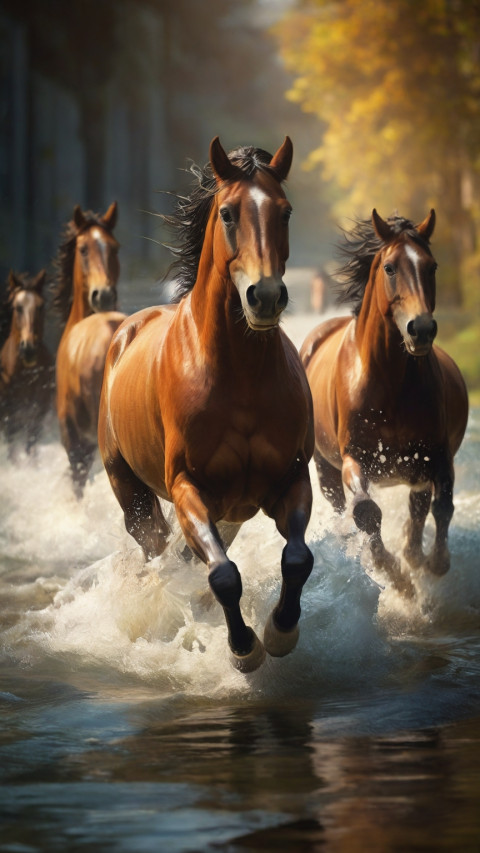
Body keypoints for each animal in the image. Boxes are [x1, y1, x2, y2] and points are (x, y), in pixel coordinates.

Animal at [0, 270, 54, 455]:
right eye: (17, 307)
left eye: (41, 306)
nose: (28, 348)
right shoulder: (8, 419)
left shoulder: (37, 414)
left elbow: (31, 445)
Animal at [98, 137, 315, 672]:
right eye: (228, 213)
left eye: (285, 212)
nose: (265, 297)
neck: (238, 377)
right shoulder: (186, 487)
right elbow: (223, 575)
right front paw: (244, 649)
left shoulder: (290, 478)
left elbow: (298, 558)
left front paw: (280, 631)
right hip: (132, 493)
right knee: (157, 551)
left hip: (231, 512)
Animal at [300, 209, 469, 594]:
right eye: (390, 268)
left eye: (432, 266)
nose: (421, 330)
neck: (388, 382)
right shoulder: (354, 458)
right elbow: (365, 512)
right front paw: (393, 574)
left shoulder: (436, 455)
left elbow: (443, 506)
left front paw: (434, 562)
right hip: (325, 466)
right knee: (342, 508)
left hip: (415, 468)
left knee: (419, 504)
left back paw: (415, 553)